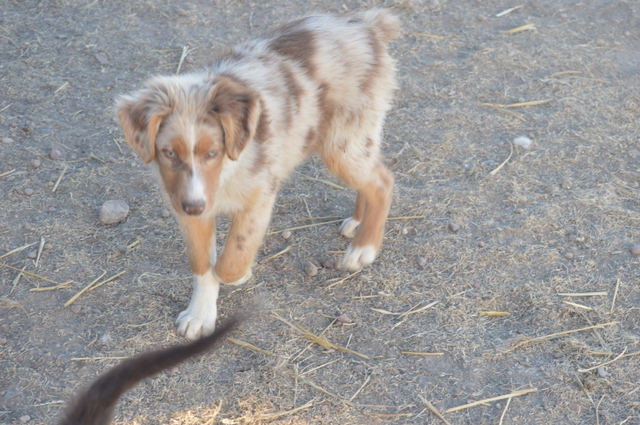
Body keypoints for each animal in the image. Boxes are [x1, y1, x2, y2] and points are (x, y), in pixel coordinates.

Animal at [114, 9, 396, 338]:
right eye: (169, 153)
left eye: (213, 152)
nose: (195, 206)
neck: (225, 174)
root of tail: (367, 25)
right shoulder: (186, 204)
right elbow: (202, 263)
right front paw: (200, 315)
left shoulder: (259, 197)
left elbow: (230, 260)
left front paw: (239, 274)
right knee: (372, 176)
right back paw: (357, 223)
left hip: (343, 143)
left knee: (382, 181)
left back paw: (363, 248)